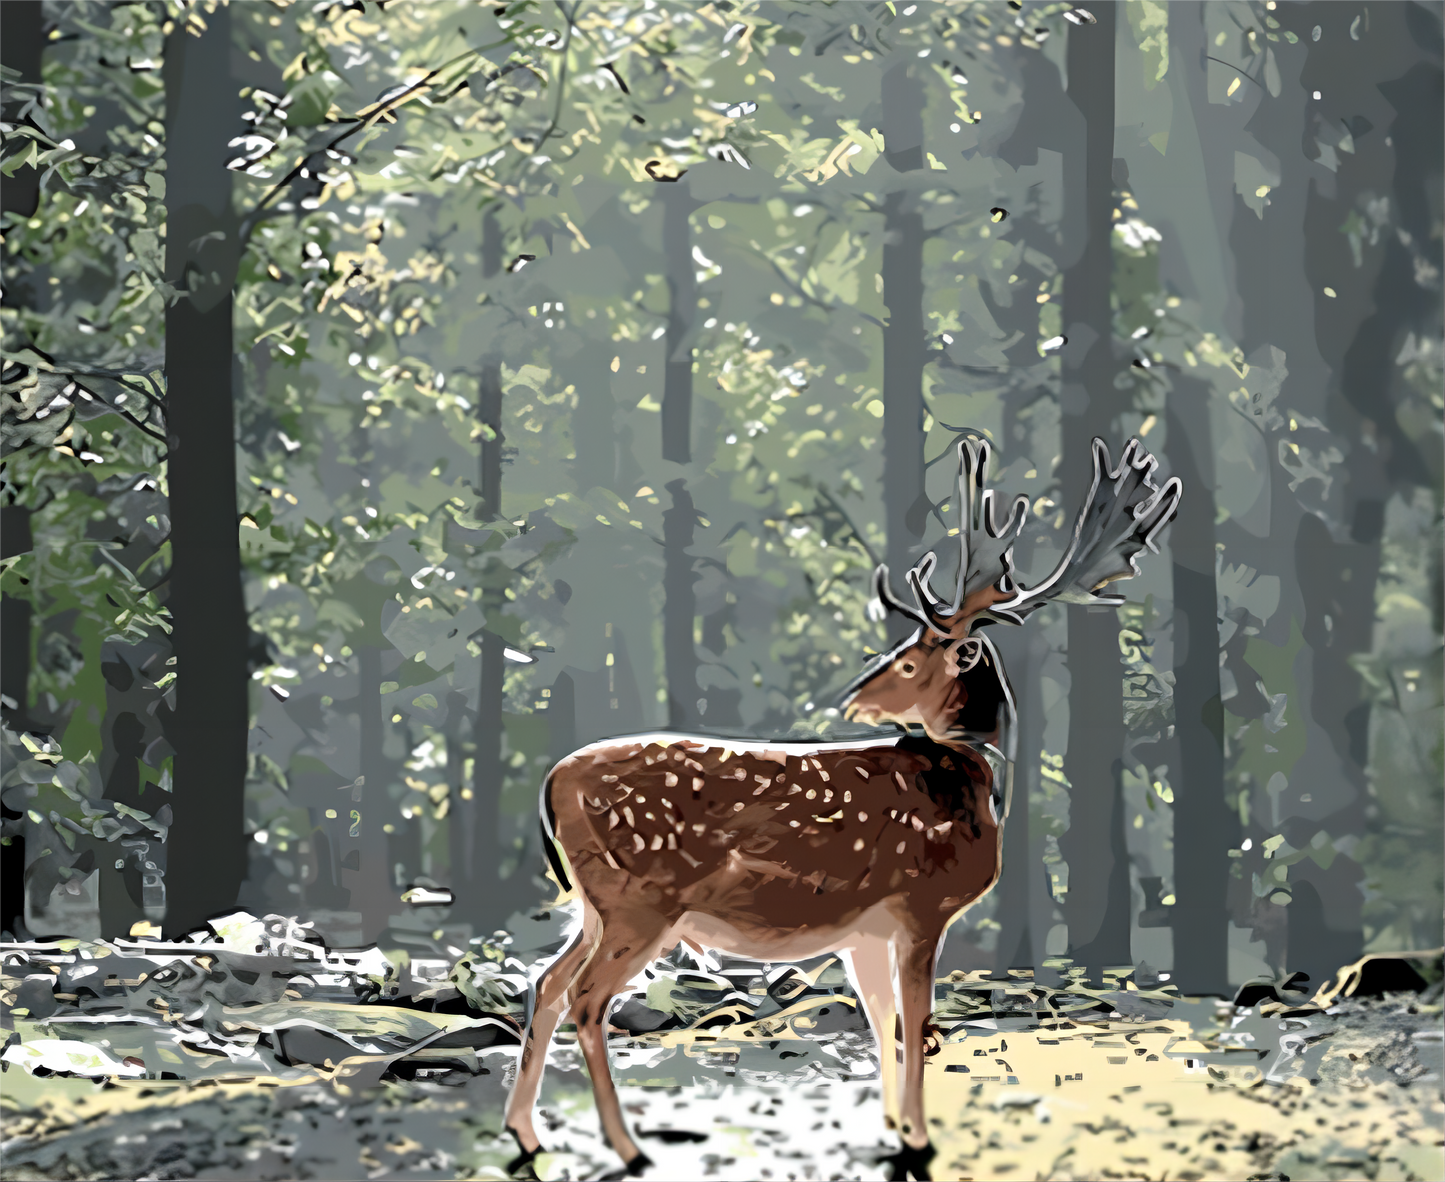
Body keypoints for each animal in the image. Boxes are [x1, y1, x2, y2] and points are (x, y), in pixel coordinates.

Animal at [503, 435, 1181, 1181]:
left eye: (911, 661)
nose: (854, 697)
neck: (968, 787)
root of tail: (552, 783)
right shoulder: (921, 904)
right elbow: (915, 1021)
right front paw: (919, 1138)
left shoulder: (867, 928)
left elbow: (883, 1019)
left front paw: (892, 1126)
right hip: (639, 900)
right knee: (586, 999)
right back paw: (627, 1146)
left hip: (597, 905)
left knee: (546, 983)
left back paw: (527, 1133)